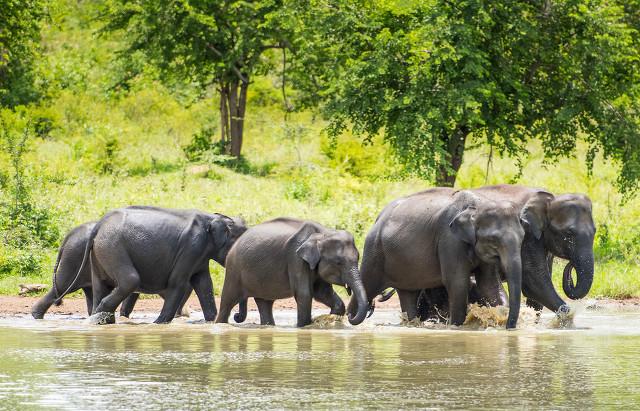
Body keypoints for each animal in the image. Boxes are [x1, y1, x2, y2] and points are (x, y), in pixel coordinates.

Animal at [84, 208, 246, 324]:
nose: (236, 317)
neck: (213, 217)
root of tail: (99, 226)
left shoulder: (200, 256)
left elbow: (204, 284)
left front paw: (211, 321)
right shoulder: (191, 247)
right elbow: (178, 283)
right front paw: (157, 324)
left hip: (101, 252)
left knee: (101, 286)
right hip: (112, 247)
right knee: (130, 280)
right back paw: (99, 315)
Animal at [215, 219, 368, 328]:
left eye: (358, 258)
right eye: (338, 262)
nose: (350, 316)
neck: (323, 233)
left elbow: (322, 292)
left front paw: (334, 316)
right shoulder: (295, 258)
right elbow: (304, 294)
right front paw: (302, 327)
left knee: (265, 303)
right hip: (234, 270)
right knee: (227, 301)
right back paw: (220, 324)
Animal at [350, 188, 524, 330]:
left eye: (523, 237)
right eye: (493, 240)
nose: (509, 327)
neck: (479, 204)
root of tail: (378, 218)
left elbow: (490, 285)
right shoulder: (449, 240)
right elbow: (457, 283)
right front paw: (456, 327)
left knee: (408, 295)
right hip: (374, 251)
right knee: (368, 284)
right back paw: (351, 318)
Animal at [416, 185, 596, 320]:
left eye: (594, 231)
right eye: (568, 234)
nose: (571, 264)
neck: (549, 199)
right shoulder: (528, 236)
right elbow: (534, 283)